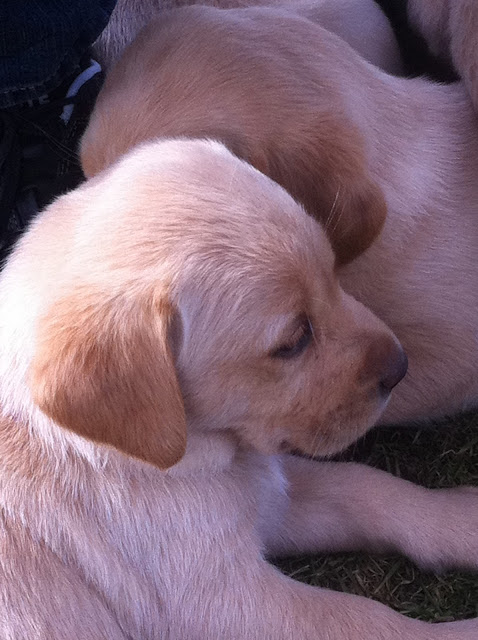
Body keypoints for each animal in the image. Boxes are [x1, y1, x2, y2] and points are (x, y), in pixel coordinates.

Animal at [1, 138, 478, 638]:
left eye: (334, 275)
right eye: (293, 341)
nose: (401, 367)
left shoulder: (266, 494)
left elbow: (369, 488)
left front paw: (466, 520)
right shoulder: (221, 598)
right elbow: (366, 619)